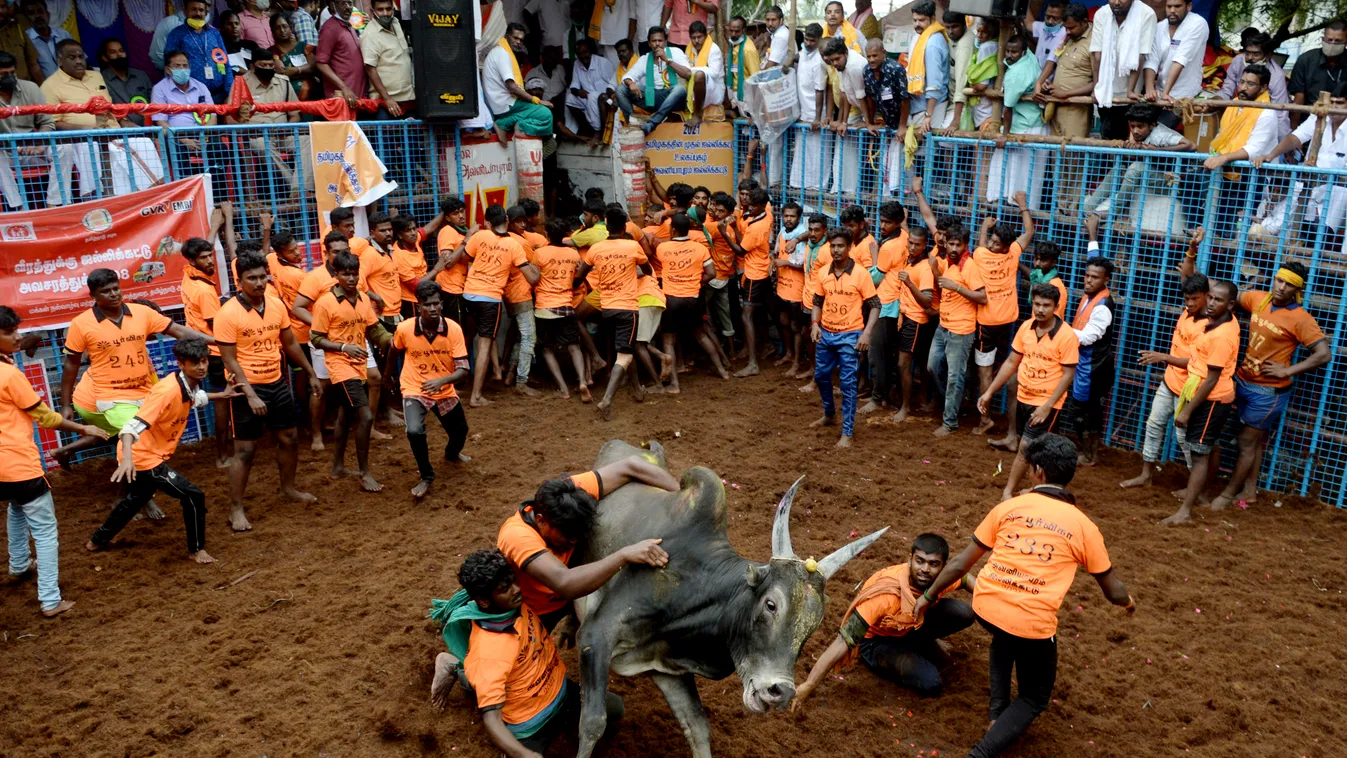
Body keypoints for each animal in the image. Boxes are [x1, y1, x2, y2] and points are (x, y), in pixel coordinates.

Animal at [573, 438, 889, 758]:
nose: (780, 693)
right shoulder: (595, 636)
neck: (693, 587)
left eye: (813, 626)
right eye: (770, 604)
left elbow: (698, 729)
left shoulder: (667, 668)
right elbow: (593, 723)